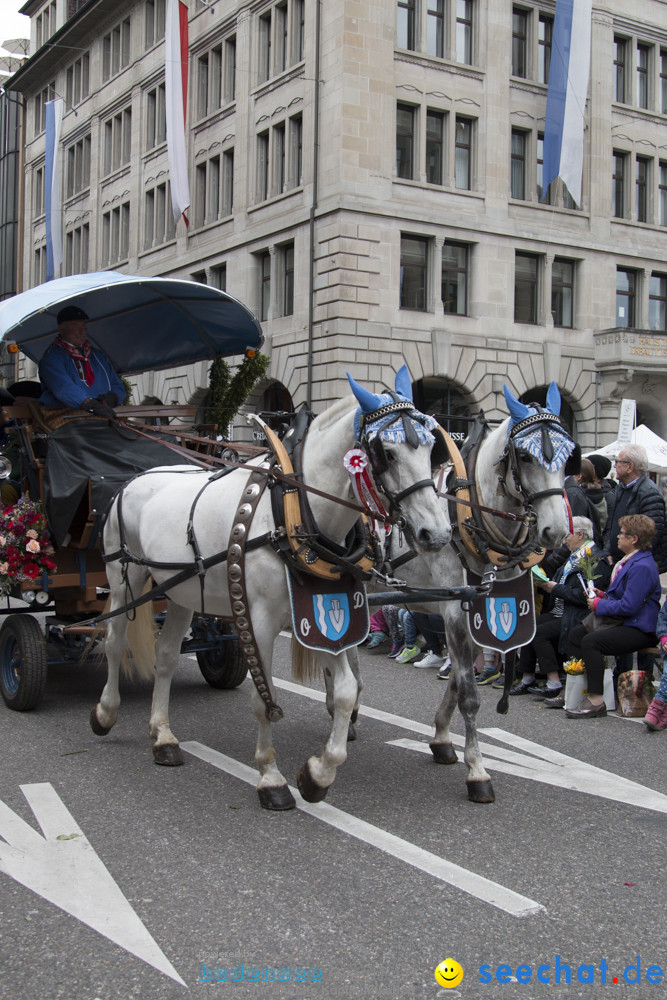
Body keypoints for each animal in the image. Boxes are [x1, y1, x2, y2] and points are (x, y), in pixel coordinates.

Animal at [90, 368, 454, 812]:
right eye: (386, 452)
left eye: (432, 447)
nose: (437, 534)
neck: (293, 509)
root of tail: (136, 477)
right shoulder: (258, 620)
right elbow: (264, 700)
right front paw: (270, 776)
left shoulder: (316, 615)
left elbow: (346, 691)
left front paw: (317, 774)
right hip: (124, 578)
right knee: (114, 642)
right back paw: (106, 712)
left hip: (181, 592)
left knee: (166, 656)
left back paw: (163, 736)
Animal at [344, 382, 576, 804]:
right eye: (523, 455)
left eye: (569, 456)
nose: (555, 531)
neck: (470, 518)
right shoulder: (454, 607)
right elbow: (468, 692)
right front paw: (478, 772)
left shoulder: (473, 612)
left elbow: (456, 681)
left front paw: (440, 739)